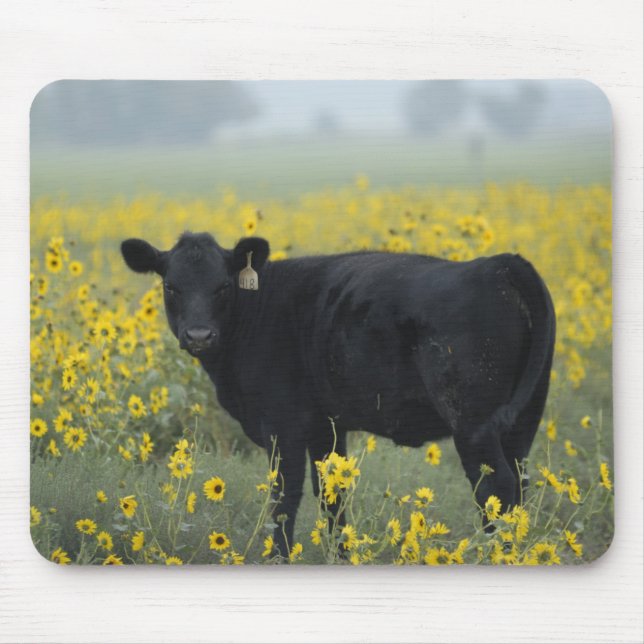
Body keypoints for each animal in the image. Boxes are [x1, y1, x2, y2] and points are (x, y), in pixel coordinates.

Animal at [121, 232, 555, 557]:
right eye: (171, 286)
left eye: (223, 287)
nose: (199, 335)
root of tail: (498, 263)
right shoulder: (324, 427)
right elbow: (333, 496)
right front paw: (341, 555)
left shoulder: (282, 426)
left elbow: (285, 498)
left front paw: (279, 558)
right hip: (523, 420)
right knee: (519, 486)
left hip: (473, 423)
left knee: (496, 490)